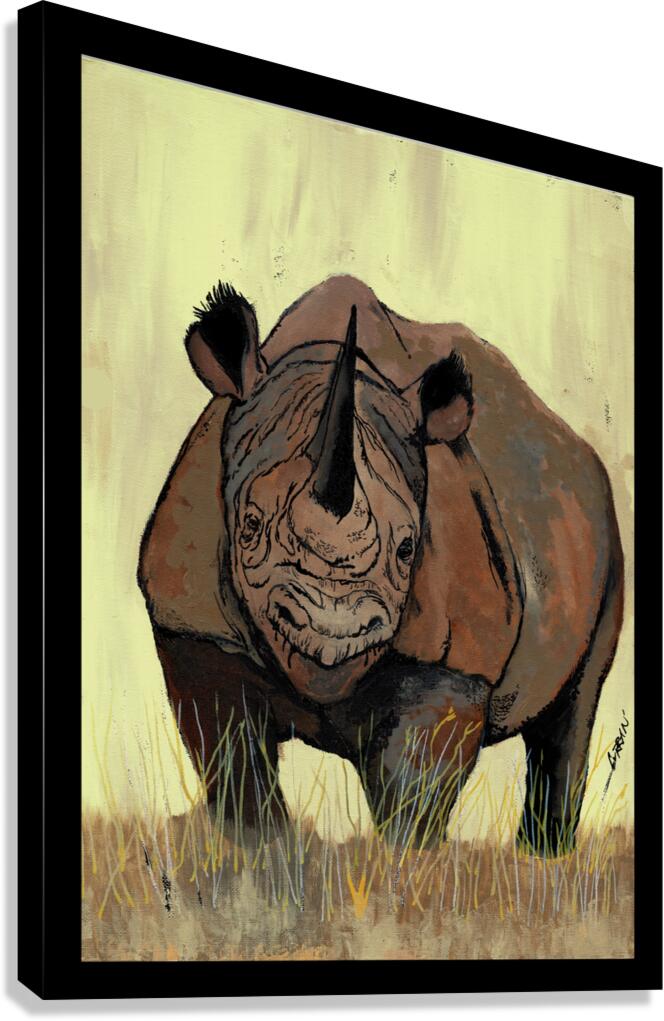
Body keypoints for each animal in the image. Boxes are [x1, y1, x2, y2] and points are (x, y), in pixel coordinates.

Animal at [138, 275, 623, 854]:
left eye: (407, 549)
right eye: (250, 526)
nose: (334, 630)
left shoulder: (454, 656)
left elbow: (414, 784)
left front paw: (404, 864)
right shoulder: (195, 626)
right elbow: (231, 757)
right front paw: (261, 853)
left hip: (604, 530)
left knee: (574, 710)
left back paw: (543, 858)